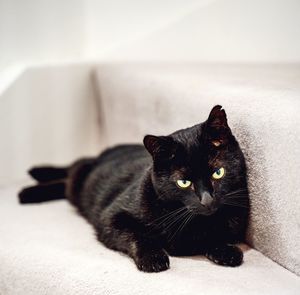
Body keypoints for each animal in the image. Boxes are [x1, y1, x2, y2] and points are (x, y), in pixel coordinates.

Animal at [18, 106, 248, 272]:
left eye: (218, 173)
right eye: (183, 182)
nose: (207, 200)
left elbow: (212, 236)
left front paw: (226, 251)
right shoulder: (111, 218)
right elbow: (137, 235)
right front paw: (153, 258)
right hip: (81, 178)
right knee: (71, 171)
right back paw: (31, 183)